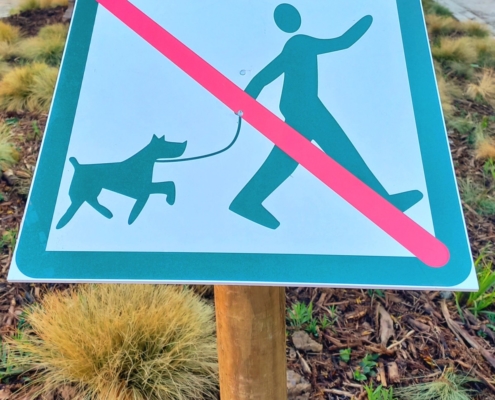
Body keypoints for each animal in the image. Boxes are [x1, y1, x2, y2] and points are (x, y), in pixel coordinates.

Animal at [56, 134, 187, 229]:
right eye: (167, 143)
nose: (185, 144)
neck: (144, 161)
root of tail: (77, 165)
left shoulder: (145, 190)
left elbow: (168, 184)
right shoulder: (144, 190)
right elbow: (168, 185)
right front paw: (170, 200)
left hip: (94, 189)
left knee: (90, 201)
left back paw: (107, 213)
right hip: (82, 190)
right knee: (76, 205)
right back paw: (62, 223)